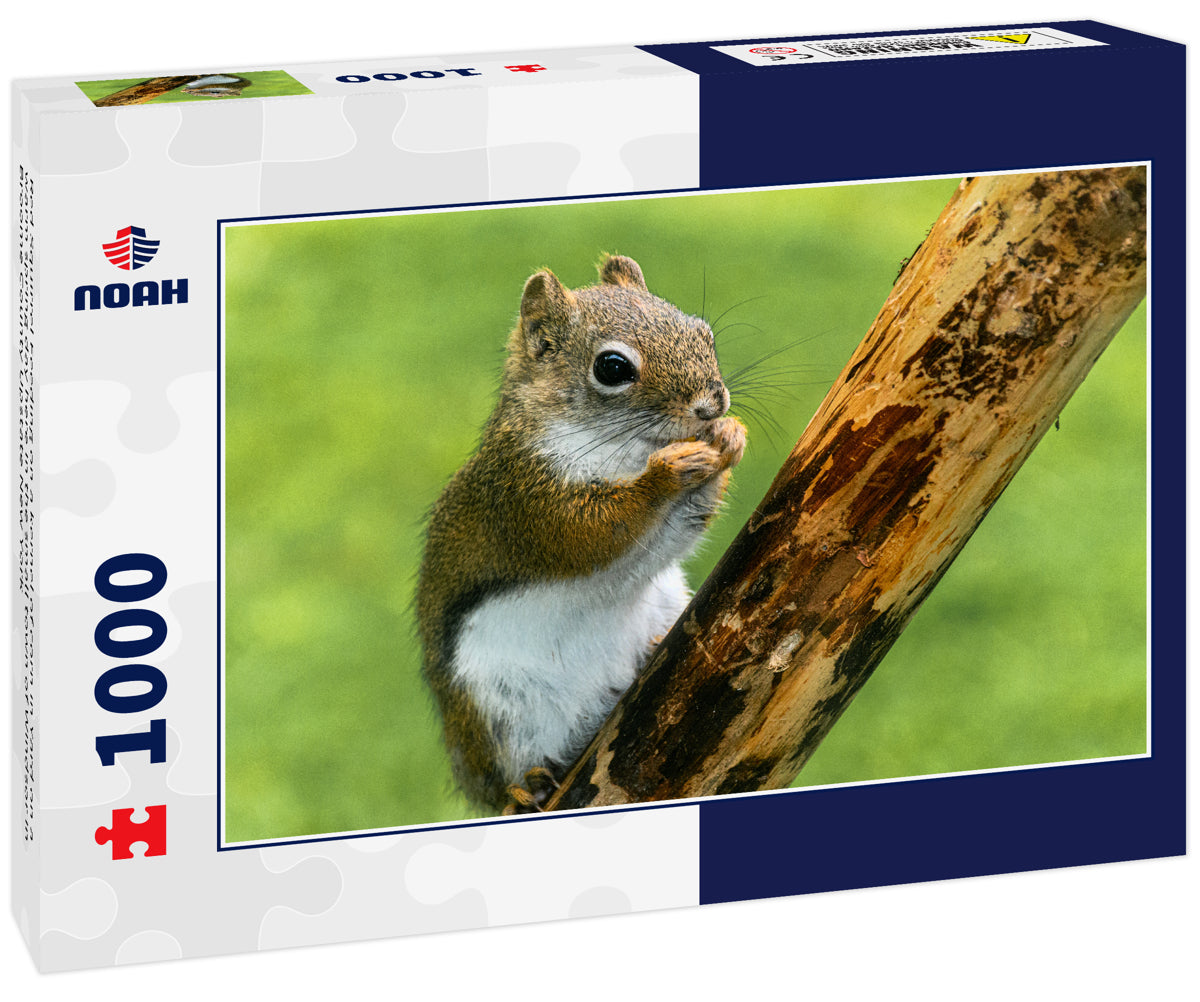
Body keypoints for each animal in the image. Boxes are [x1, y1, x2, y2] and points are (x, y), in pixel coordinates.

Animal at [416, 254, 746, 815]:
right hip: (492, 717)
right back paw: (526, 787)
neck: (623, 449)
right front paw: (665, 475)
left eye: (703, 331)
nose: (711, 406)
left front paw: (729, 437)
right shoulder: (526, 497)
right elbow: (590, 534)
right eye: (612, 368)